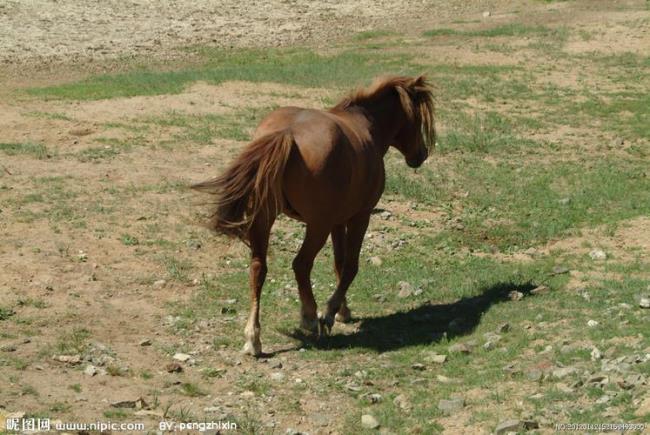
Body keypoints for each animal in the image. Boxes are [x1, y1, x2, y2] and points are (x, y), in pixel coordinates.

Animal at [192, 75, 436, 356]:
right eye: (417, 118)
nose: (421, 155)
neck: (367, 126)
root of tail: (287, 133)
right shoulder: (359, 217)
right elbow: (350, 266)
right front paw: (329, 313)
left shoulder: (338, 221)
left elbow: (338, 264)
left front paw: (343, 310)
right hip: (317, 226)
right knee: (301, 264)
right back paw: (309, 317)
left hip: (265, 220)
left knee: (258, 268)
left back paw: (253, 337)